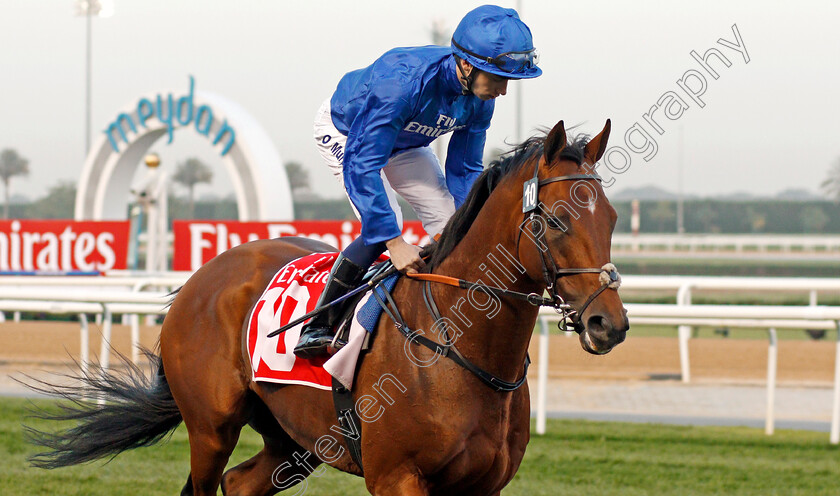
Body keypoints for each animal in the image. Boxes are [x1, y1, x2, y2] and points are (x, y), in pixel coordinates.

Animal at [29, 118, 628, 494]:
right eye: (557, 220)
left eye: (613, 218)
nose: (610, 324)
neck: (460, 351)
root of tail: (200, 278)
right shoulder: (397, 478)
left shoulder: (483, 486)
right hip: (211, 427)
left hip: (294, 437)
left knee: (240, 483)